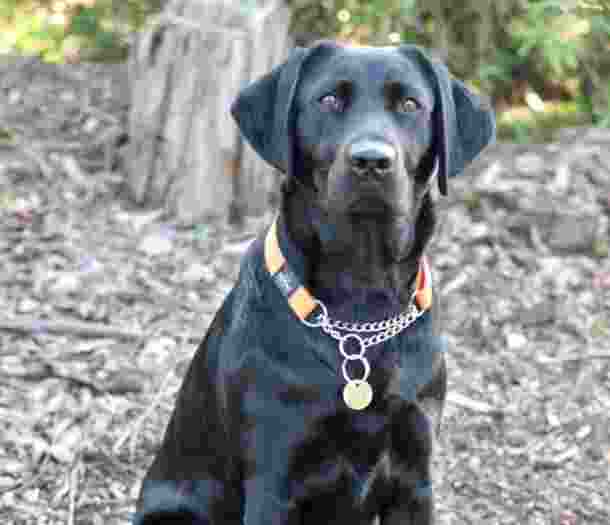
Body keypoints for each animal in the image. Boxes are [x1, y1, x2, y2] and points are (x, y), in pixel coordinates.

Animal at [134, 42, 494, 524]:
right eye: (328, 100)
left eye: (409, 105)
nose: (371, 161)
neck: (361, 307)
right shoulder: (273, 479)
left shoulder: (414, 476)